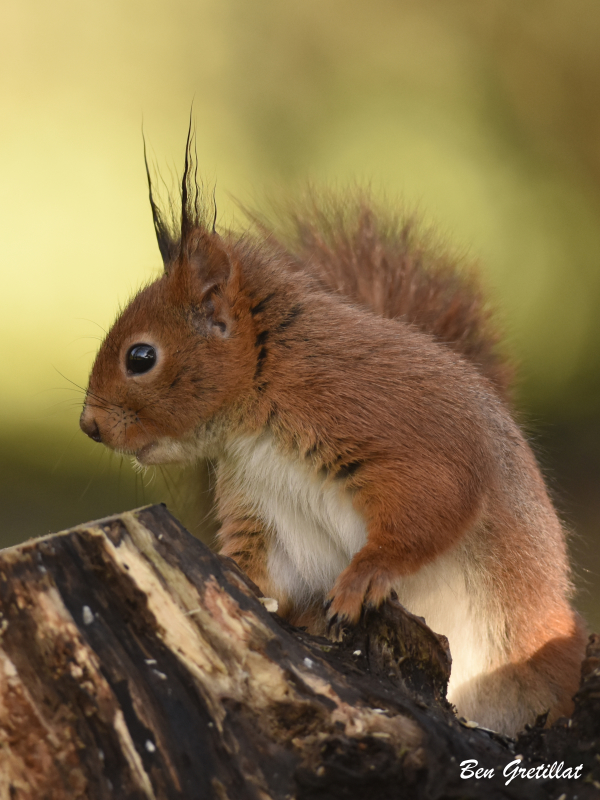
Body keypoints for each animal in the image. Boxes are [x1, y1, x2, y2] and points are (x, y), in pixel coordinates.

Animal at [81, 133, 584, 736]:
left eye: (140, 357)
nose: (88, 426)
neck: (260, 408)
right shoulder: (261, 503)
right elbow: (267, 570)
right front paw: (231, 578)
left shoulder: (394, 427)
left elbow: (431, 507)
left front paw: (364, 577)